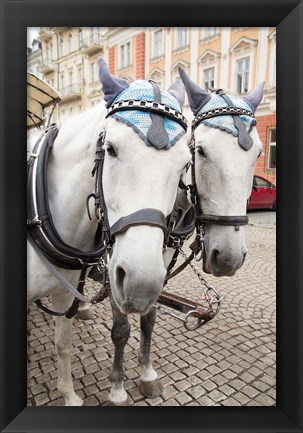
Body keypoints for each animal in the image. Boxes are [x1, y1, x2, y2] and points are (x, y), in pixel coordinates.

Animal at [27, 58, 191, 404]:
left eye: (184, 163)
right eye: (111, 148)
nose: (141, 284)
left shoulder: (64, 291)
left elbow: (63, 344)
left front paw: (69, 395)